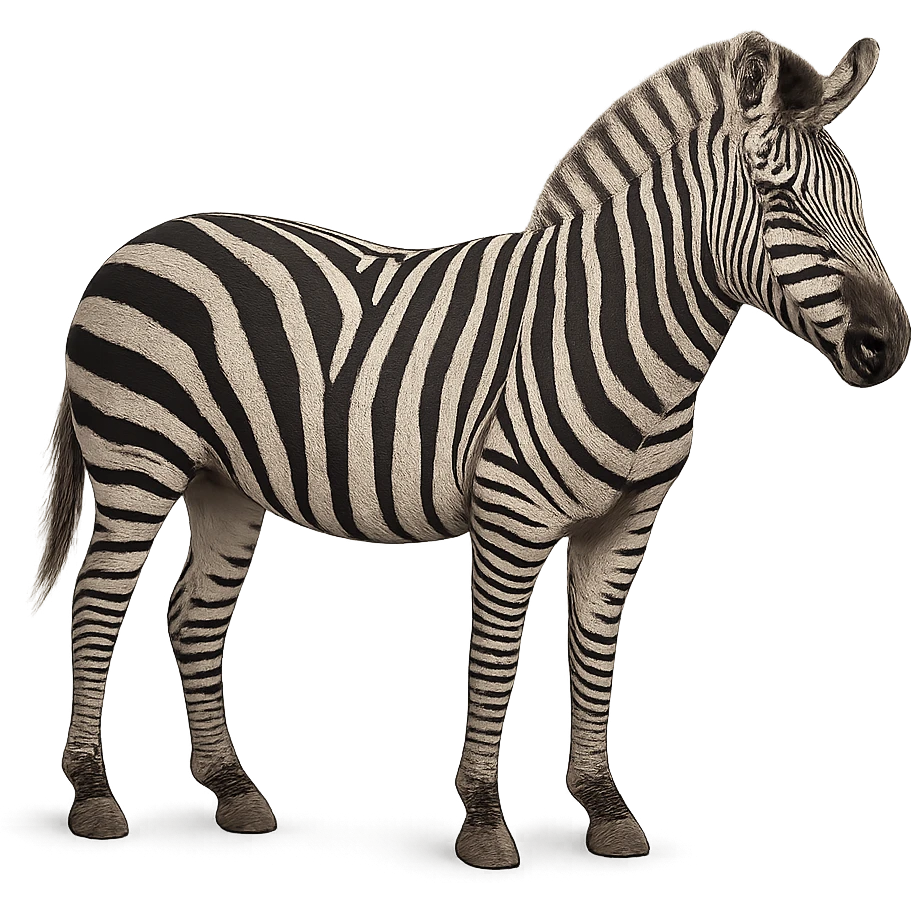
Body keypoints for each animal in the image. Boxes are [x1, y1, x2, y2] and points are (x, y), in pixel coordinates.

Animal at [21, 31, 907, 870]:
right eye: (779, 198)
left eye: (860, 202)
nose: (887, 348)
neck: (624, 327)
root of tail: (135, 245)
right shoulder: (512, 510)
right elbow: (495, 657)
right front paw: (483, 823)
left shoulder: (626, 523)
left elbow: (595, 653)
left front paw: (606, 811)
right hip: (138, 461)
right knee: (94, 609)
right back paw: (93, 799)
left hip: (223, 483)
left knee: (191, 615)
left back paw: (233, 793)